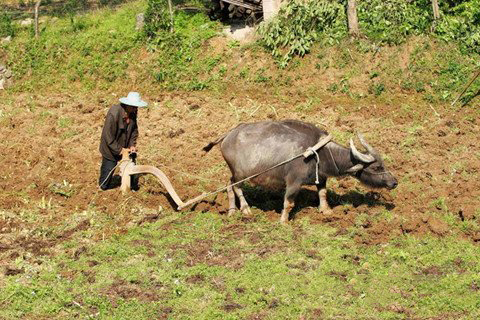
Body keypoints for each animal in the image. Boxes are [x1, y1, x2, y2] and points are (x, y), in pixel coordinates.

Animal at [202, 119, 398, 222]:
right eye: (377, 167)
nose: (394, 182)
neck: (320, 152)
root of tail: (228, 135)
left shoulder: (322, 178)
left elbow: (323, 193)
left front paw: (326, 211)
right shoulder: (294, 182)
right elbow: (288, 202)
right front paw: (283, 221)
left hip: (234, 173)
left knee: (228, 185)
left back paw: (232, 210)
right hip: (241, 175)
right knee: (236, 187)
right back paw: (245, 209)